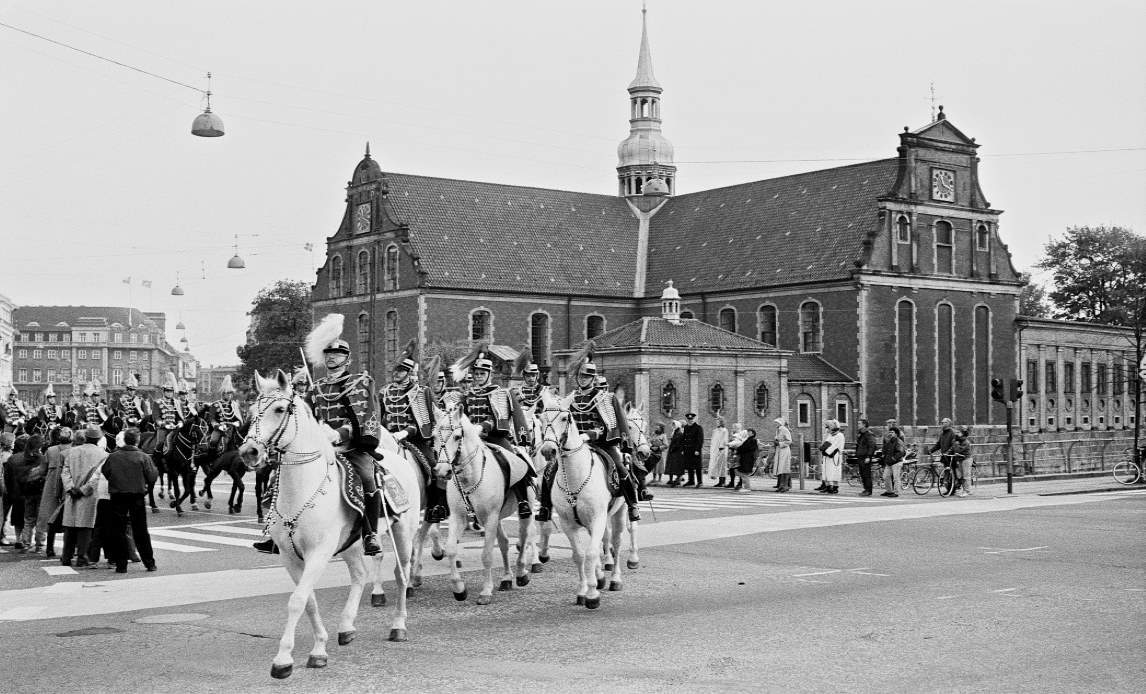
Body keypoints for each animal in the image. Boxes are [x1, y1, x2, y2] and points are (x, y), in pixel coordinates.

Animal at [239, 373, 419, 682]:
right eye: (251, 412)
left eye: (279, 409)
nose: (248, 452)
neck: (301, 488)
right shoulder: (290, 556)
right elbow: (308, 600)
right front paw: (319, 648)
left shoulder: (318, 553)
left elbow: (297, 600)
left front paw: (283, 660)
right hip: (352, 544)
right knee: (359, 575)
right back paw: (346, 627)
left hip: (403, 533)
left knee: (401, 575)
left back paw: (398, 626)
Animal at [430, 400, 534, 604]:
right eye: (434, 436)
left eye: (457, 436)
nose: (441, 471)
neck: (470, 477)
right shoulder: (458, 517)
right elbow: (451, 549)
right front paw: (459, 589)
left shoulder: (491, 517)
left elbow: (486, 554)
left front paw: (486, 591)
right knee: (504, 543)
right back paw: (506, 578)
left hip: (521, 512)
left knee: (523, 538)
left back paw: (521, 573)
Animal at [534, 391, 632, 609]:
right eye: (541, 418)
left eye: (565, 418)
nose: (548, 451)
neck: (574, 477)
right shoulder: (568, 523)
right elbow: (579, 555)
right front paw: (583, 590)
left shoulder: (597, 518)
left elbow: (592, 553)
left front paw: (593, 595)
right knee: (604, 542)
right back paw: (599, 576)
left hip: (619, 512)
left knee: (616, 542)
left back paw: (615, 579)